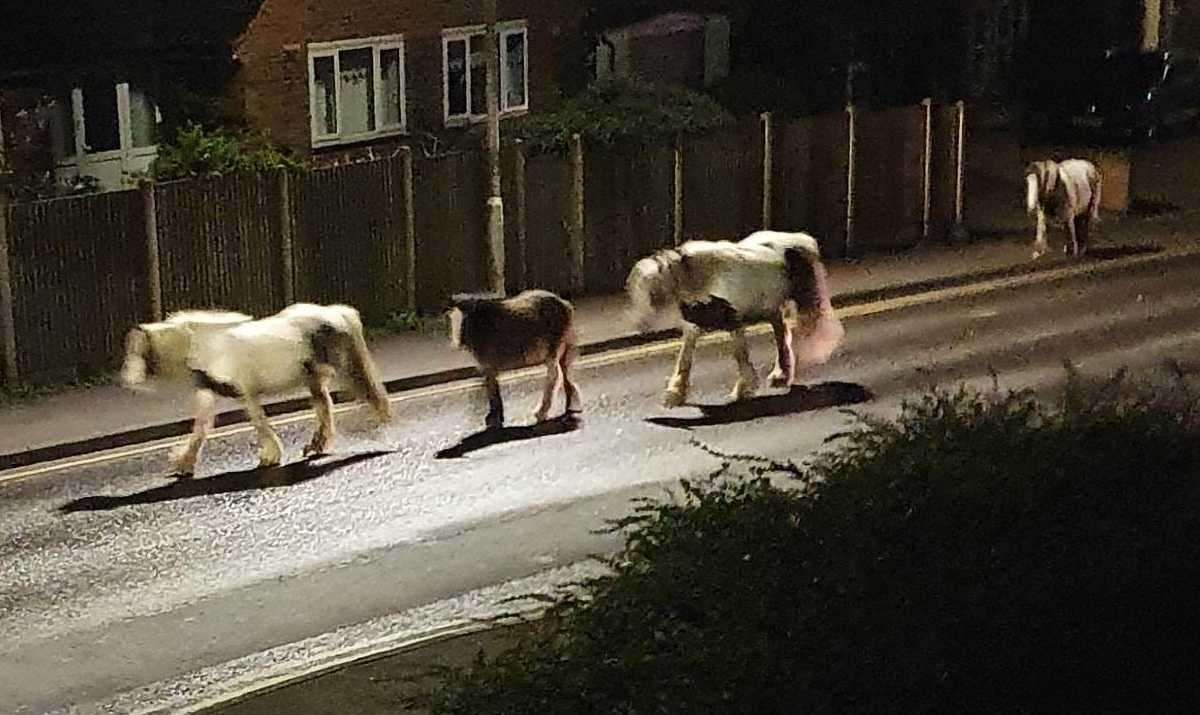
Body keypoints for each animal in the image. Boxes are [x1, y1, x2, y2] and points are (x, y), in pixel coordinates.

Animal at [120, 301, 388, 475]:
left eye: (138, 351)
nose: (126, 381)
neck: (208, 346)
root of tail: (335, 312)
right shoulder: (210, 393)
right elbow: (200, 429)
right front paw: (184, 463)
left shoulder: (246, 392)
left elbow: (258, 422)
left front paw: (270, 456)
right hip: (313, 378)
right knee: (324, 407)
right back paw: (316, 446)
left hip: (344, 368)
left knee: (366, 393)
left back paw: (380, 422)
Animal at [628, 229, 844, 407]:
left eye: (652, 294)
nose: (640, 326)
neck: (708, 277)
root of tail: (802, 240)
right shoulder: (696, 325)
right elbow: (685, 357)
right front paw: (676, 393)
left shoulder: (734, 321)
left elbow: (740, 354)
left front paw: (743, 389)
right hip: (771, 308)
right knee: (781, 333)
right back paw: (780, 375)